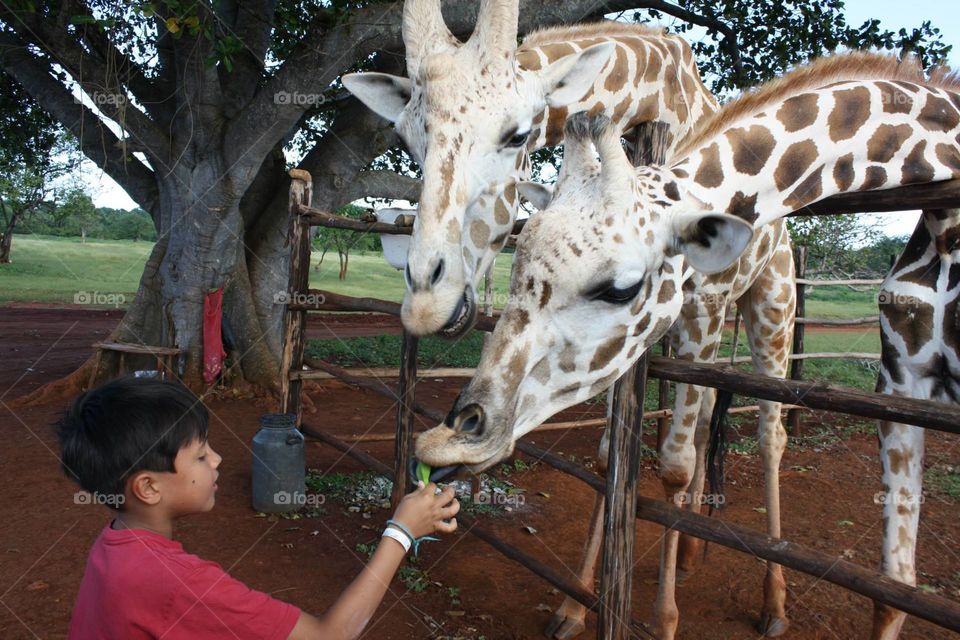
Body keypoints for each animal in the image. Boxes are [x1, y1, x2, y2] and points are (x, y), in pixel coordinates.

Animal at [342, 2, 800, 636]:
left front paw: (663, 618)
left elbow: (673, 465)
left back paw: (774, 603)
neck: (660, 101)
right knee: (711, 413)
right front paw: (576, 603)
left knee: (769, 431)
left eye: (516, 134)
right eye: (408, 141)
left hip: (770, 300)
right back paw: (691, 553)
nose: (427, 302)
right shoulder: (624, 325)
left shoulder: (695, 305)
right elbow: (611, 456)